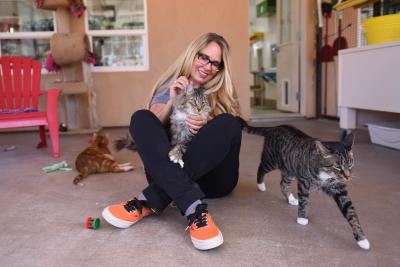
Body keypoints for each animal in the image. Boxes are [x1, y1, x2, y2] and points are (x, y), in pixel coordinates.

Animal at [236, 117, 370, 251]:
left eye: (350, 163)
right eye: (337, 166)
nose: (347, 176)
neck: (326, 175)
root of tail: (275, 127)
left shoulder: (339, 189)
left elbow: (351, 213)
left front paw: (362, 239)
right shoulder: (304, 182)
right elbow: (304, 200)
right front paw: (302, 218)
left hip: (290, 169)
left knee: (283, 183)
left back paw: (291, 199)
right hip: (271, 160)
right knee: (261, 167)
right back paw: (261, 185)